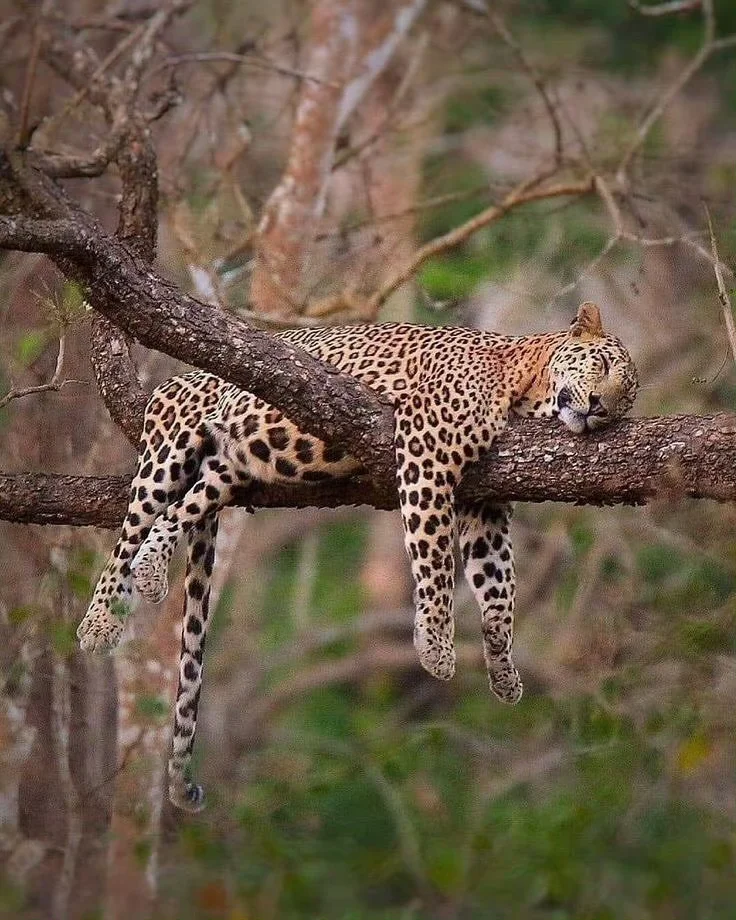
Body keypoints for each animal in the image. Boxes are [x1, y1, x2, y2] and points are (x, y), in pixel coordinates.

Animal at [77, 302, 636, 812]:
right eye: (605, 365)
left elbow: (498, 587)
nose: (599, 409)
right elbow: (435, 557)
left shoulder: (486, 506)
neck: (524, 381)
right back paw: (100, 621)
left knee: (179, 511)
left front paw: (502, 667)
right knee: (131, 528)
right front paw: (436, 646)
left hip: (230, 466)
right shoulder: (427, 451)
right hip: (169, 441)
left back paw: (153, 567)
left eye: (625, 400)